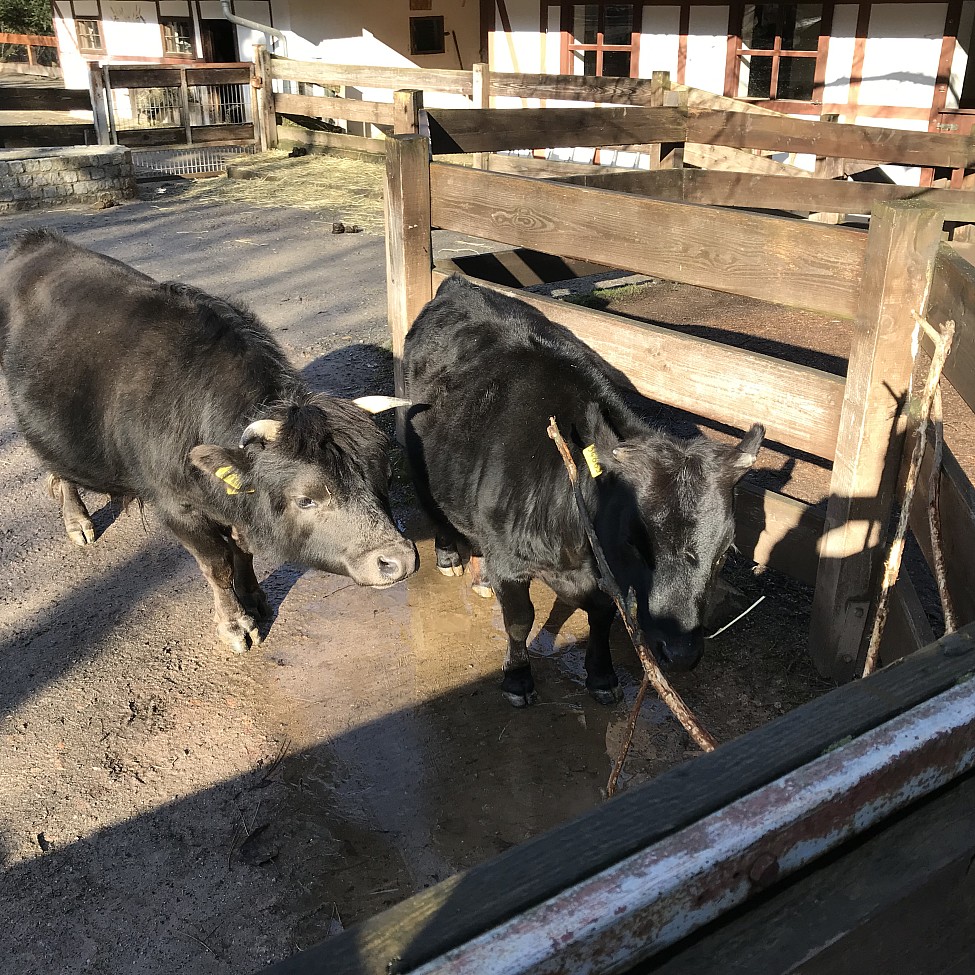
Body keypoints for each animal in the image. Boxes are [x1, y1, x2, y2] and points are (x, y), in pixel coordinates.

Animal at [0, 232, 416, 652]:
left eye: (385, 477)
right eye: (306, 499)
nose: (398, 560)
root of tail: (34, 242)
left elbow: (243, 551)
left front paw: (256, 599)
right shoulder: (176, 507)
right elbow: (218, 565)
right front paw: (235, 624)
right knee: (58, 467)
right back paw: (78, 522)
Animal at [402, 274, 764, 708]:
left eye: (725, 551)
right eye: (634, 542)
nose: (680, 653)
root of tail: (459, 285)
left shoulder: (606, 579)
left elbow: (602, 618)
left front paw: (602, 675)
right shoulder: (509, 561)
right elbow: (520, 621)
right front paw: (518, 678)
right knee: (431, 504)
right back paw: (448, 556)